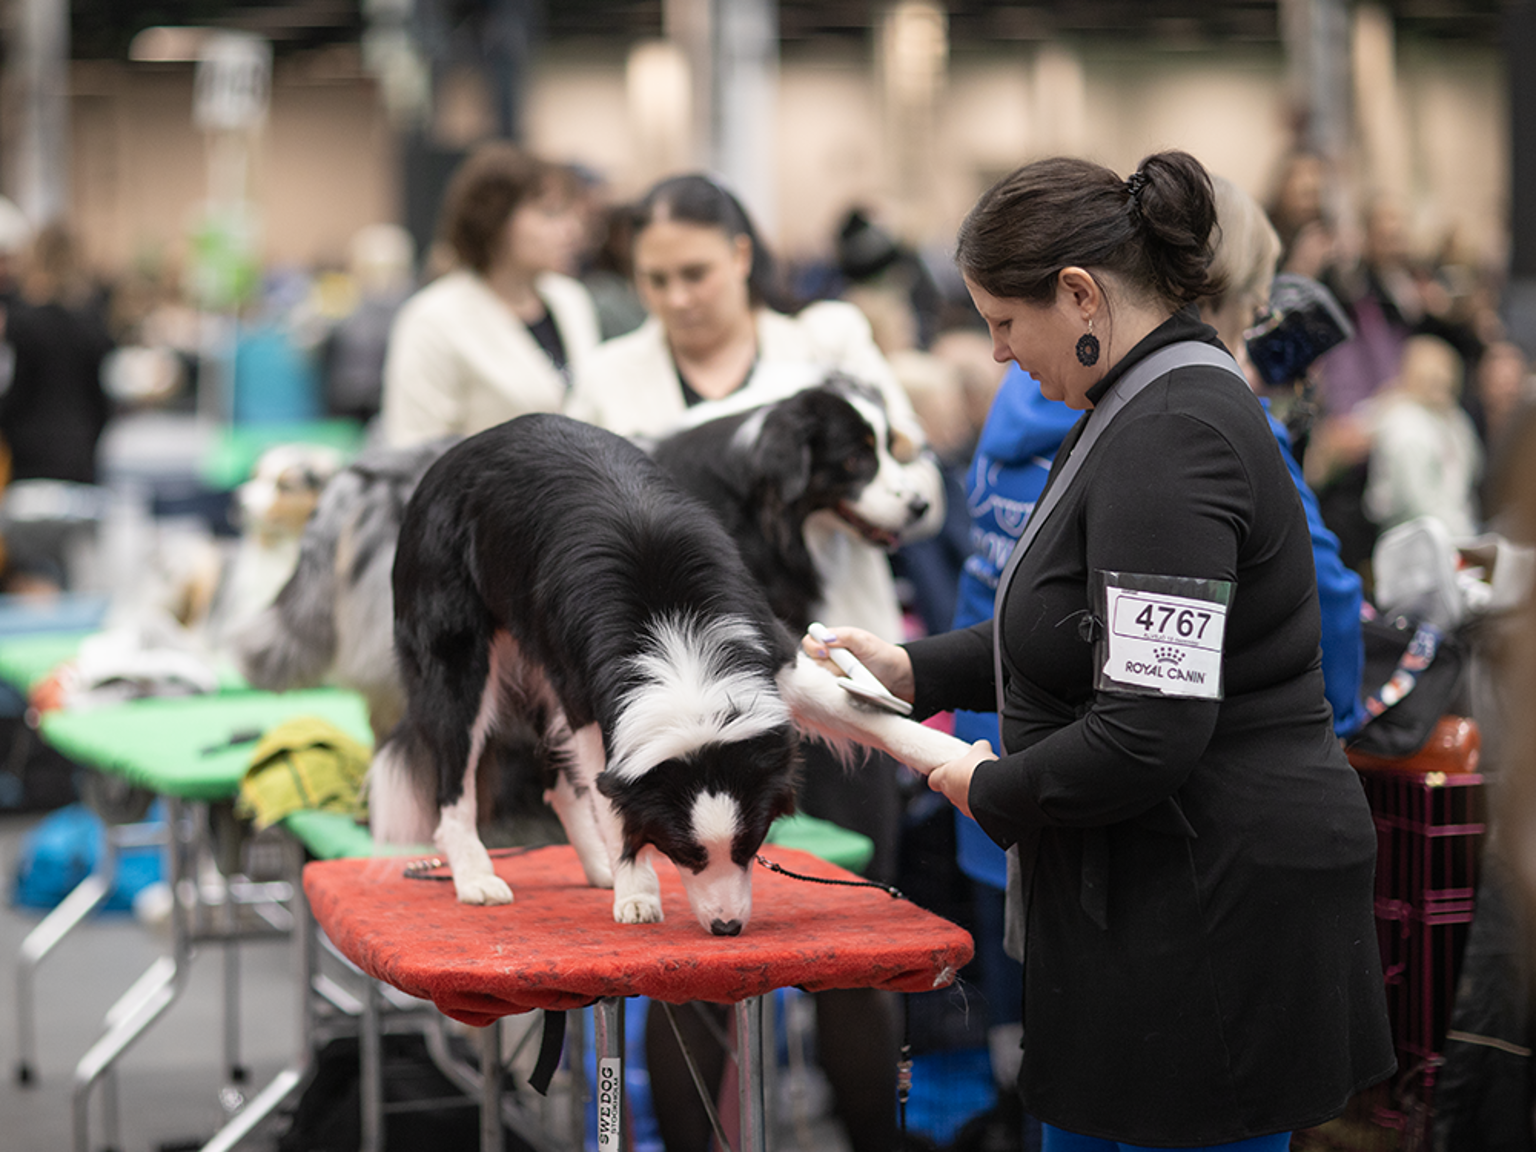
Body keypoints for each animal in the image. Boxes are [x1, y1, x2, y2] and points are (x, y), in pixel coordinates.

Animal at [371, 414, 964, 940]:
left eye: (751, 847)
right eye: (685, 854)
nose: (727, 929)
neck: (678, 647)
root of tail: (456, 451)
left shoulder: (773, 654)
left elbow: (873, 717)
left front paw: (953, 758)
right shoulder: (589, 700)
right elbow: (615, 801)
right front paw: (636, 892)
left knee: (559, 784)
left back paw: (596, 866)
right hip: (459, 662)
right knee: (454, 784)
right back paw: (477, 877)